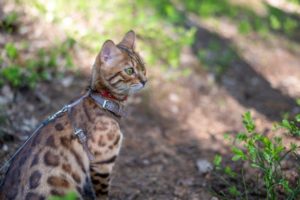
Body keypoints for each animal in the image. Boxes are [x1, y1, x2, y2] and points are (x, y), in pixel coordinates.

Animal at [0, 30, 146, 200]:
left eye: (144, 67)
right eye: (129, 70)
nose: (145, 81)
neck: (102, 100)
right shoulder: (102, 163)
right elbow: (102, 194)